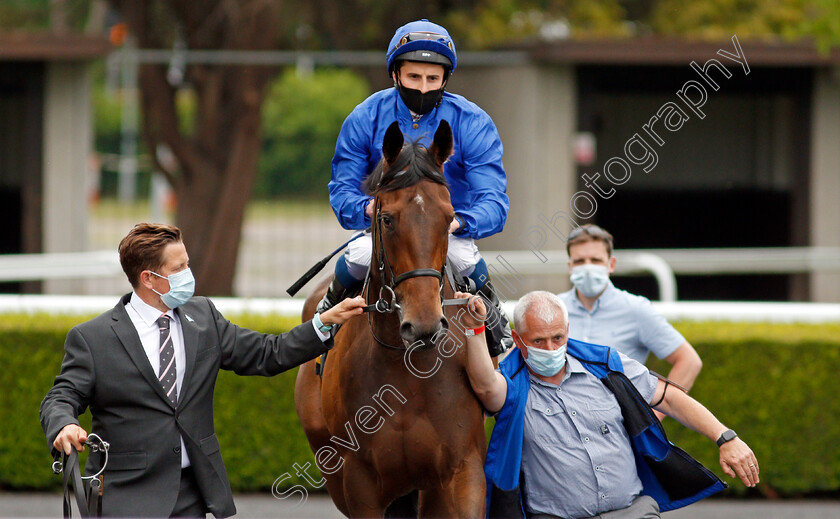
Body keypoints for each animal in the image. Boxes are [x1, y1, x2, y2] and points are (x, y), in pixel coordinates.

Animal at [296, 121, 486, 516]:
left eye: (449, 218)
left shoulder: (463, 467)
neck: (406, 371)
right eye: (386, 219)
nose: (425, 325)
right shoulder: (359, 481)